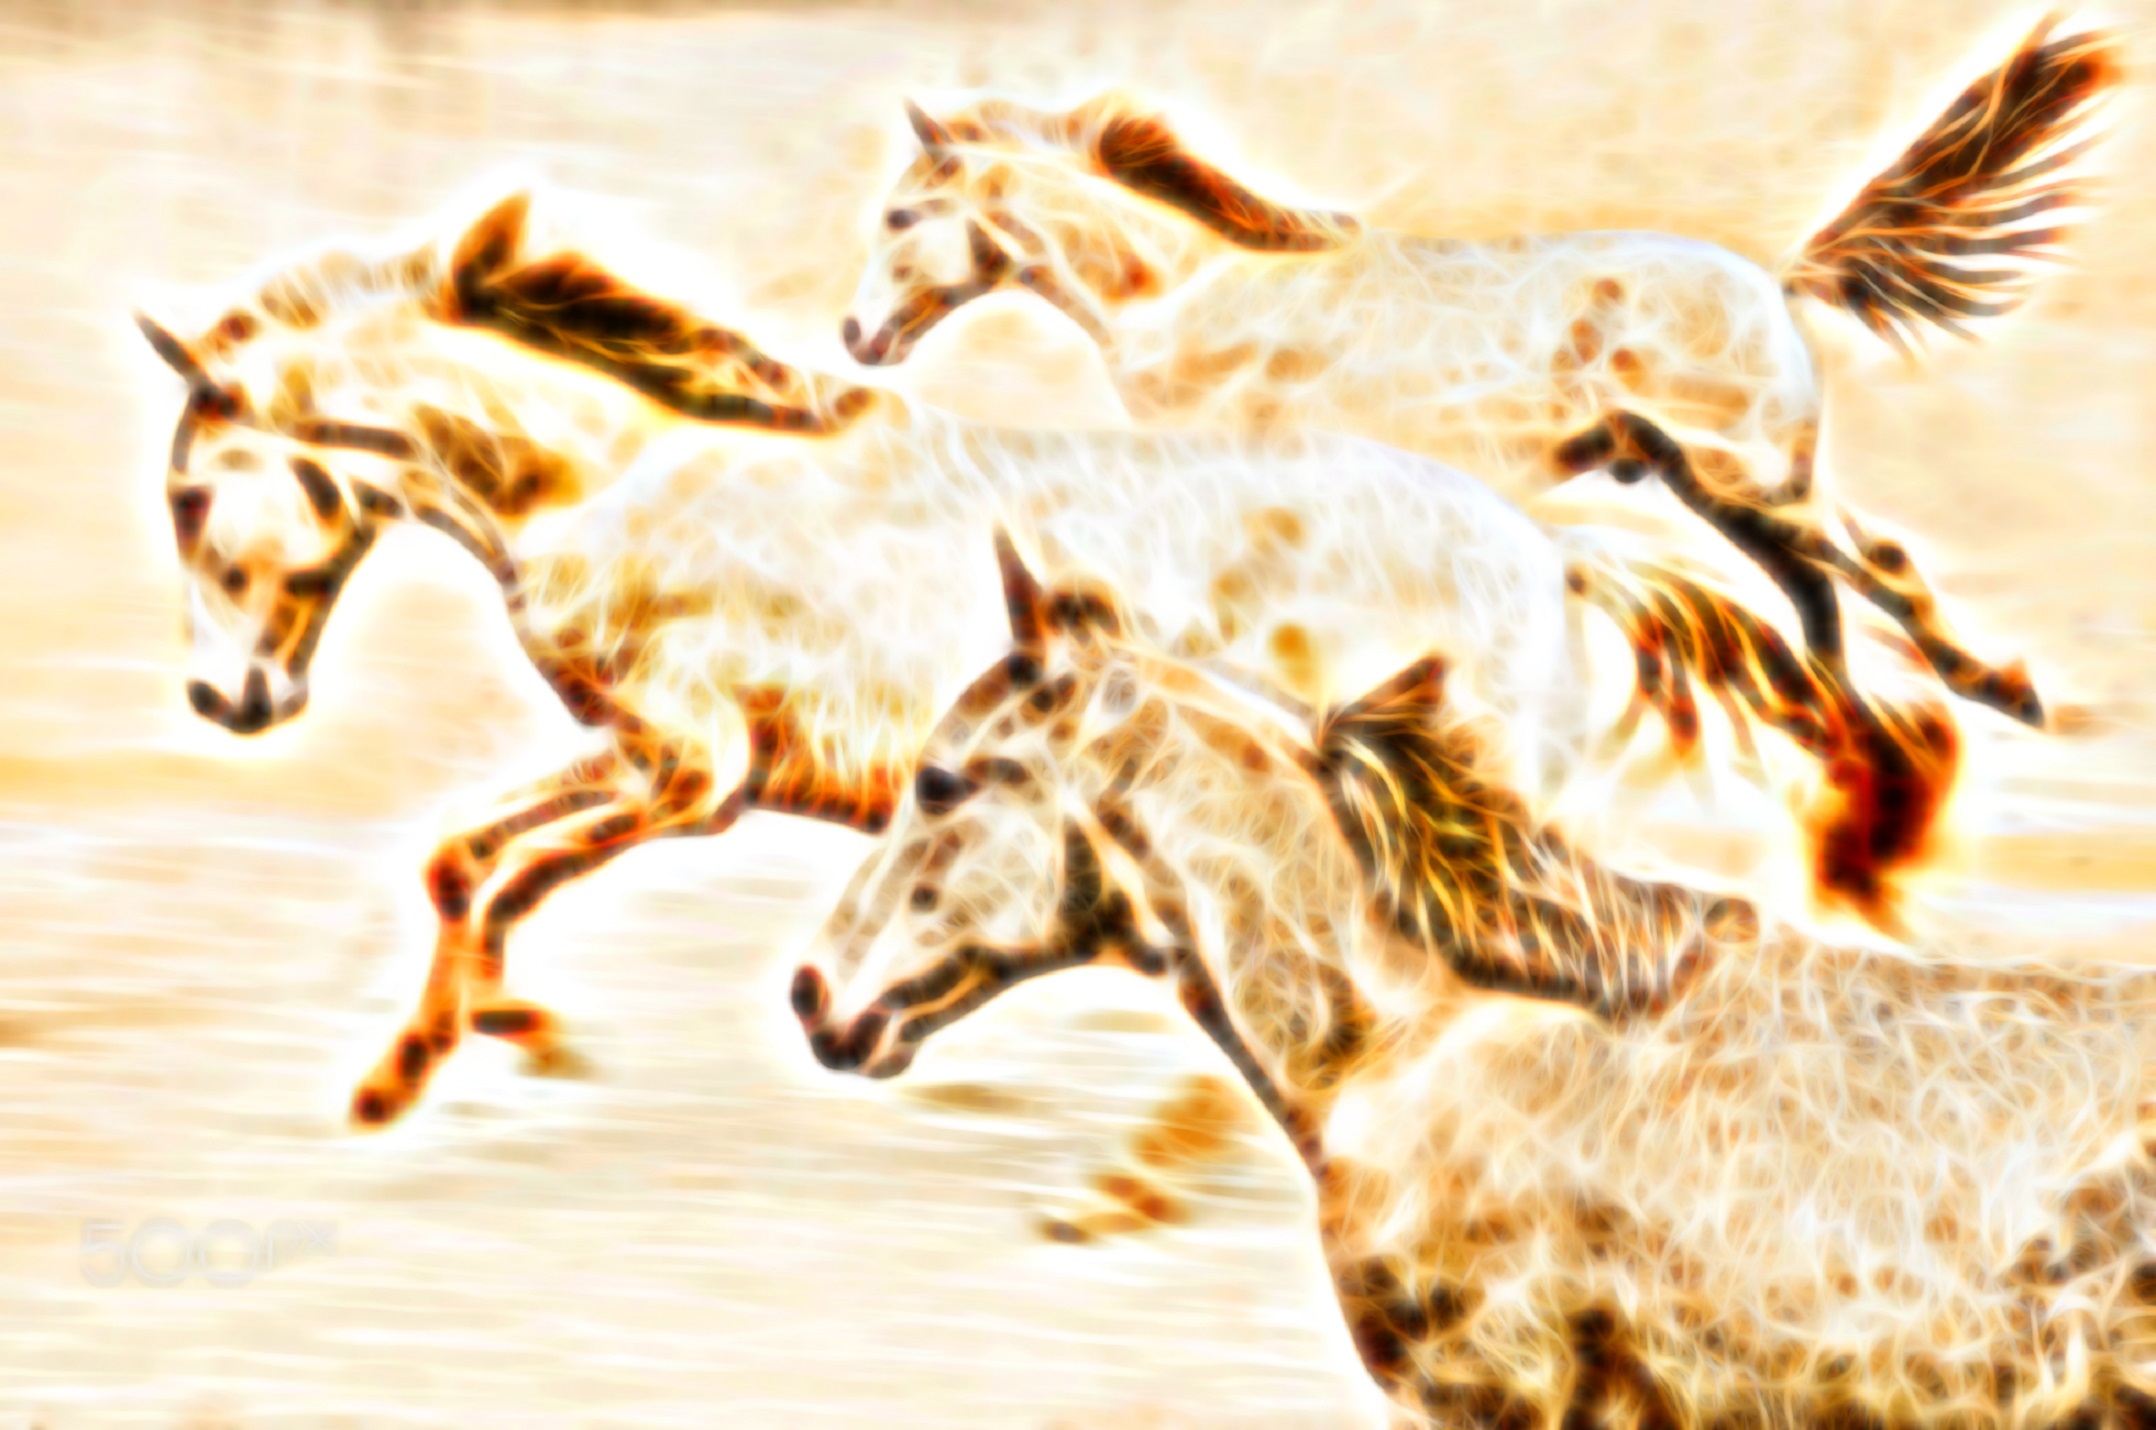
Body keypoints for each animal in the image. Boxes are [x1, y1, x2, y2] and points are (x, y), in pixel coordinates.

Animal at [134, 186, 1896, 1128]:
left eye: (185, 494)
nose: (225, 700)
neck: (624, 477)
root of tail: (1551, 553)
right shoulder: (657, 767)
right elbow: (466, 865)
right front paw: (472, 1044)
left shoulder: (686, 772)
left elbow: (483, 862)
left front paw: (424, 1065)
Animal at [838, 14, 2117, 734]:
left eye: (900, 216)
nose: (854, 336)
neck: (1190, 293)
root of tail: (1775, 279)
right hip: (1713, 489)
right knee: (1814, 602)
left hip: (1748, 476)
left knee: (1875, 567)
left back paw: (2001, 692)